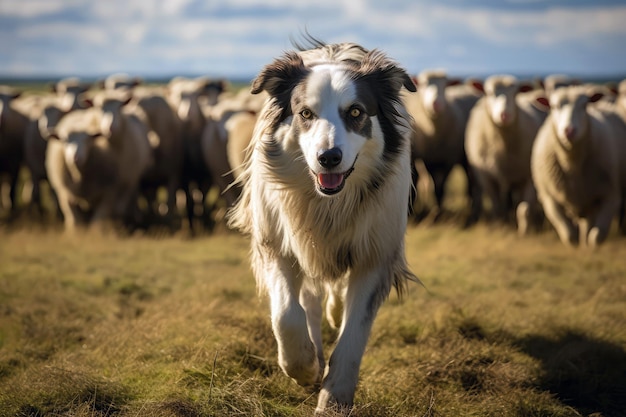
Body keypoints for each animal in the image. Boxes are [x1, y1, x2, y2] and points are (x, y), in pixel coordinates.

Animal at [402, 70, 480, 223]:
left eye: (445, 85)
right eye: (424, 83)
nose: (436, 104)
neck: (434, 133)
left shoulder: (448, 159)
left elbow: (439, 187)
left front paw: (438, 213)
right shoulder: (422, 159)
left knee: (470, 180)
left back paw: (471, 209)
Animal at [464, 75, 544, 231]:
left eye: (515, 93)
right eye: (489, 93)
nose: (504, 115)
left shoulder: (530, 176)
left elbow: (524, 208)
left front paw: (525, 231)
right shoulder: (486, 177)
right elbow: (496, 207)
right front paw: (499, 226)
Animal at [528, 85, 624, 247]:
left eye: (584, 106)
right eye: (554, 106)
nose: (569, 131)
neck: (572, 164)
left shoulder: (611, 195)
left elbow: (596, 236)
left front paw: (591, 249)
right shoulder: (549, 199)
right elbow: (569, 236)